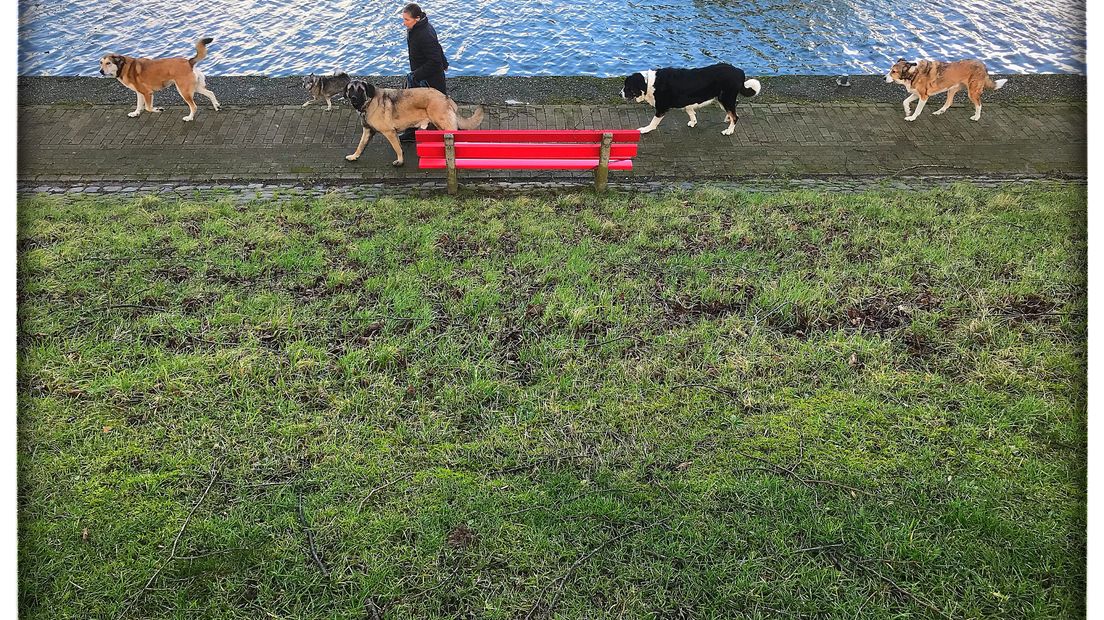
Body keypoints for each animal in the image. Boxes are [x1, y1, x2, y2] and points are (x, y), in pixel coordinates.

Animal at [342, 79, 485, 166]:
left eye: (360, 90)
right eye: (350, 89)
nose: (353, 98)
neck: (370, 102)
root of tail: (446, 97)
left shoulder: (389, 132)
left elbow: (397, 148)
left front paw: (400, 161)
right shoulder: (368, 131)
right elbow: (360, 145)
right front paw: (354, 156)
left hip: (444, 125)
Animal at [618, 62, 763, 135]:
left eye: (627, 87)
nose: (619, 94)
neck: (649, 83)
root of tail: (739, 71)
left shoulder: (661, 108)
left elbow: (653, 122)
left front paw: (645, 129)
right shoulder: (686, 102)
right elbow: (691, 112)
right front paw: (693, 122)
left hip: (725, 98)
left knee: (736, 116)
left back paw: (729, 130)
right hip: (723, 99)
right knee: (734, 107)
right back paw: (727, 118)